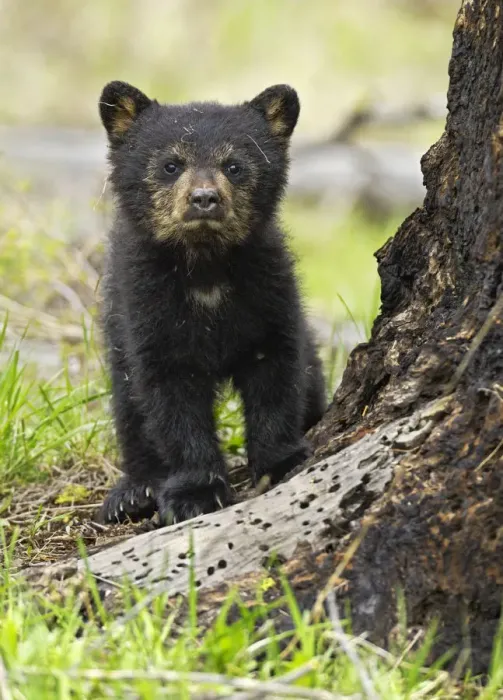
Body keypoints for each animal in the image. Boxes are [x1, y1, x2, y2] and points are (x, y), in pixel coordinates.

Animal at [98, 80, 326, 525]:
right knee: (128, 405)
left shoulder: (268, 289)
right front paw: (195, 492)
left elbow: (277, 373)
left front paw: (281, 461)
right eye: (171, 164)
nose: (204, 198)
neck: (205, 269)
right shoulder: (147, 306)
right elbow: (169, 401)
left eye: (234, 165)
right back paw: (133, 492)